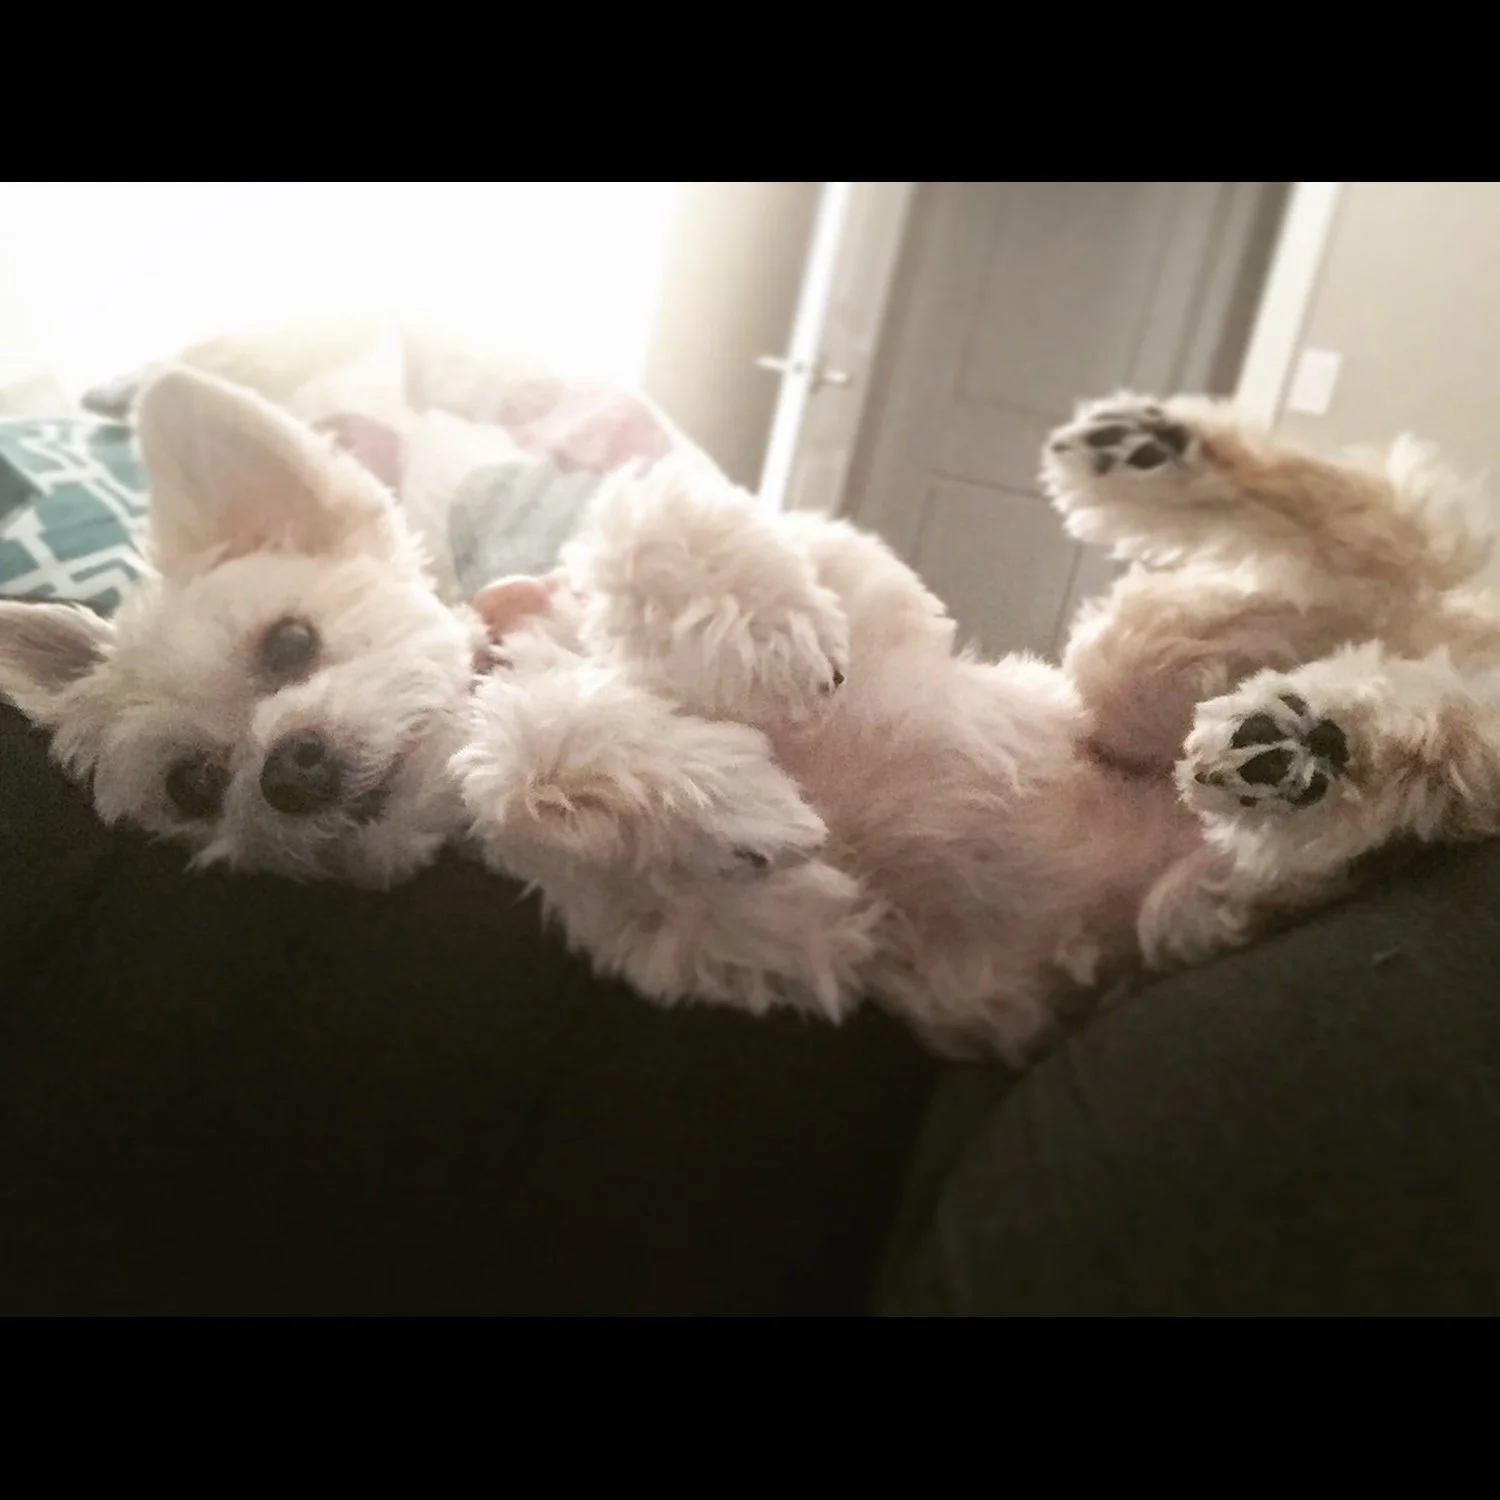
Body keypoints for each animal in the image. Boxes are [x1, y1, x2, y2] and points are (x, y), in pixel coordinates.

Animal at [453, 394, 1500, 1061]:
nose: (489, 614)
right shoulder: (733, 932)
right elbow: (523, 770)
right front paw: (731, 804)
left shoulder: (856, 581)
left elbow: (649, 525)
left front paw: (771, 648)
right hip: (1205, 892)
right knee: (1438, 751)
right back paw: (1315, 751)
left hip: (1140, 665)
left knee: (1402, 548)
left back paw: (1162, 463)